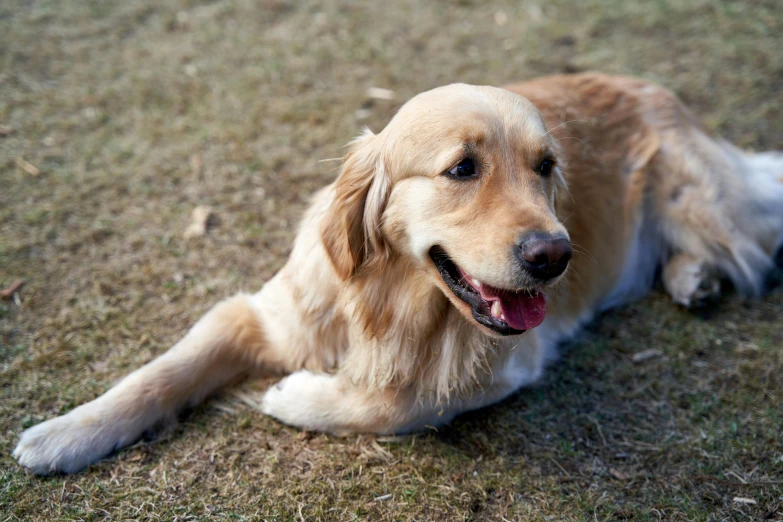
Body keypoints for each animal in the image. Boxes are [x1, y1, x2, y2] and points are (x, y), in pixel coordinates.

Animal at [13, 71, 783, 474]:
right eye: (462, 169)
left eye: (546, 167)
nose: (554, 256)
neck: (387, 300)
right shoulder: (262, 313)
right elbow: (160, 371)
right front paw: (65, 434)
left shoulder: (503, 365)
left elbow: (392, 401)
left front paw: (295, 395)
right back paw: (692, 279)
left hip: (694, 199)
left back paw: (695, 274)